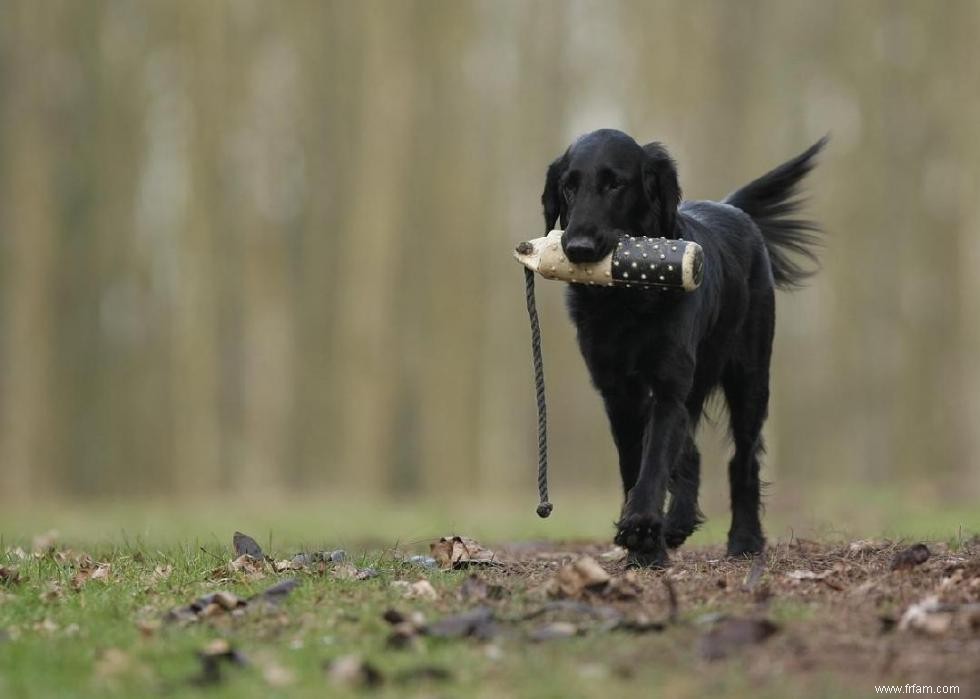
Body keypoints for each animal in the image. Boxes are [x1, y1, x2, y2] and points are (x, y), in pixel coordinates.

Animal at [540, 130, 824, 568]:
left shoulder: (669, 384)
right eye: (569, 186)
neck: (626, 301)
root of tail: (731, 207)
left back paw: (744, 540)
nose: (579, 247)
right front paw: (645, 543)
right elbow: (635, 462)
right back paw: (677, 523)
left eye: (615, 184)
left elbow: (656, 459)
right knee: (691, 453)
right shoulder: (617, 392)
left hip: (750, 378)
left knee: (743, 459)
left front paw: (642, 532)